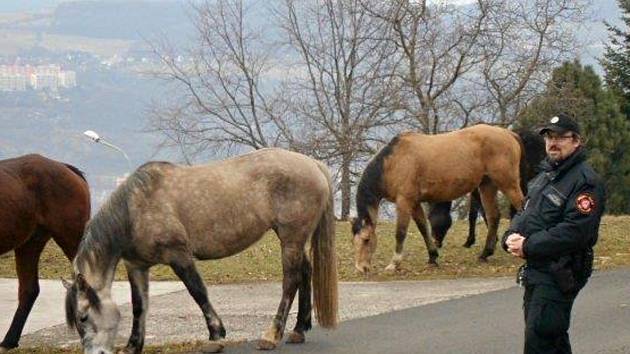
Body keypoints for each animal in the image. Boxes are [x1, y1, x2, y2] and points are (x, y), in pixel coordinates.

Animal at [63, 149, 338, 354]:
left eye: (83, 317)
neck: (136, 208)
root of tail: (313, 164)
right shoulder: (137, 266)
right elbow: (139, 306)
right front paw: (132, 346)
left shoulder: (179, 256)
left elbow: (198, 292)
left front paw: (216, 335)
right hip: (295, 240)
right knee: (305, 273)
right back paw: (298, 330)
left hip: (291, 238)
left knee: (291, 280)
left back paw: (271, 335)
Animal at [354, 124, 524, 274]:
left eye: (366, 240)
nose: (361, 268)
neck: (392, 162)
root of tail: (508, 133)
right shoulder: (415, 203)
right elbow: (423, 229)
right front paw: (432, 257)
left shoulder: (404, 202)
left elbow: (400, 232)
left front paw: (394, 264)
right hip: (487, 185)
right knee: (493, 216)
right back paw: (485, 254)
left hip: (507, 183)